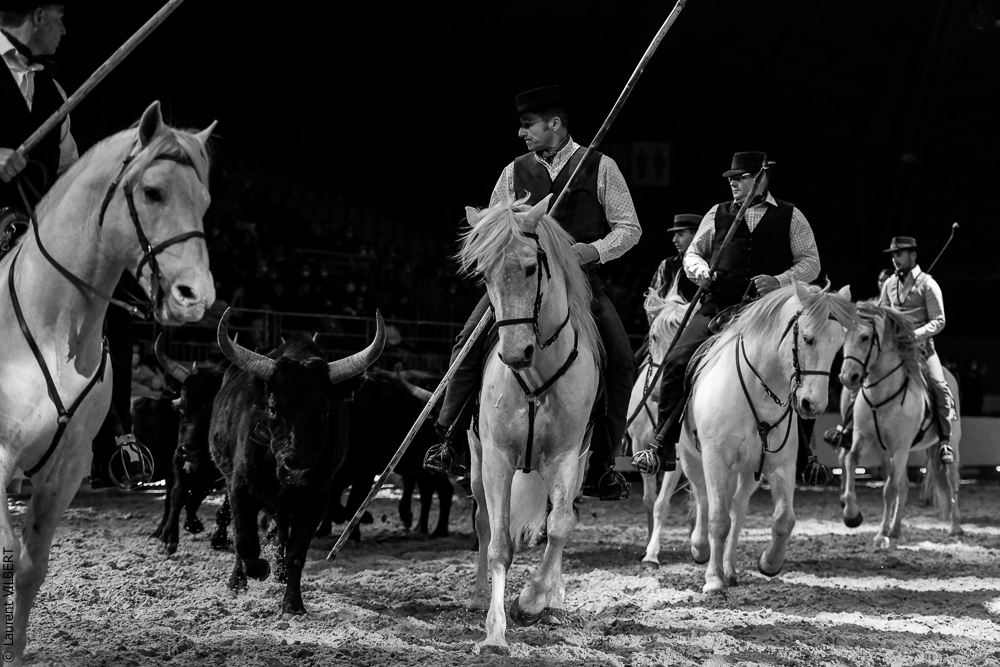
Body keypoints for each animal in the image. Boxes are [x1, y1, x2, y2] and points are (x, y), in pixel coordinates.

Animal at [0, 102, 215, 664]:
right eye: (152, 192)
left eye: (204, 202)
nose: (196, 298)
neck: (52, 327)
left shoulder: (66, 470)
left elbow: (30, 568)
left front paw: (17, 649)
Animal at [459, 194, 603, 656]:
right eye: (485, 274)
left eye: (529, 268)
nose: (514, 353)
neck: (536, 376)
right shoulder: (496, 460)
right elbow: (499, 543)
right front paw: (494, 633)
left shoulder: (567, 457)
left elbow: (558, 527)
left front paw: (534, 599)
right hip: (475, 464)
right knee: (483, 522)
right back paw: (476, 596)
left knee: (560, 521)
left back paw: (552, 600)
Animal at [681, 282, 856, 594]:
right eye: (807, 339)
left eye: (838, 345)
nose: (813, 405)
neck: (758, 389)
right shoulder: (715, 458)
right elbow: (717, 519)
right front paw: (713, 580)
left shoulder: (780, 464)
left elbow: (784, 519)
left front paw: (769, 563)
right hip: (691, 457)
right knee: (702, 496)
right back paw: (701, 549)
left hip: (748, 471)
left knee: (737, 510)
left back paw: (730, 569)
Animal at [837, 302, 962, 546]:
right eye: (844, 335)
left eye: (865, 337)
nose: (848, 377)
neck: (881, 395)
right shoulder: (863, 438)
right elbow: (850, 461)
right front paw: (851, 515)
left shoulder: (900, 447)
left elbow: (889, 490)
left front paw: (881, 534)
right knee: (903, 486)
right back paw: (895, 530)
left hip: (950, 446)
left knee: (952, 483)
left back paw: (955, 527)